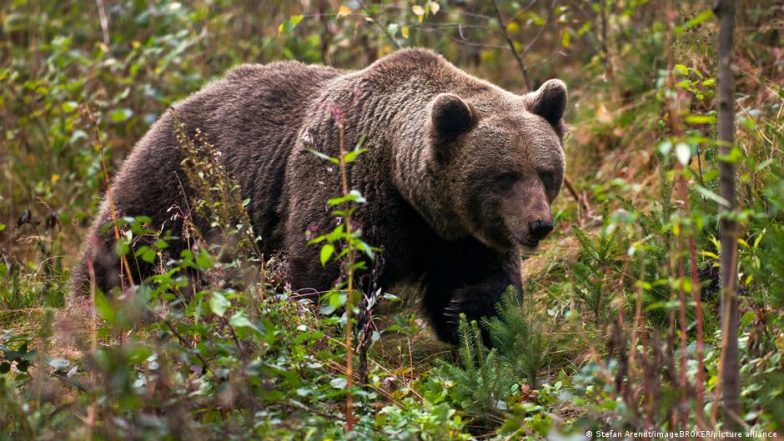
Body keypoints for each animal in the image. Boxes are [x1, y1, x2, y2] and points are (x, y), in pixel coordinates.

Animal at [72, 48, 567, 344]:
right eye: (504, 176)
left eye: (546, 173)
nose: (539, 225)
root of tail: (175, 106)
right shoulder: (346, 186)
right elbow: (325, 279)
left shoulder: (456, 232)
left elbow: (485, 283)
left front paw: (470, 317)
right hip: (179, 189)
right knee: (123, 253)